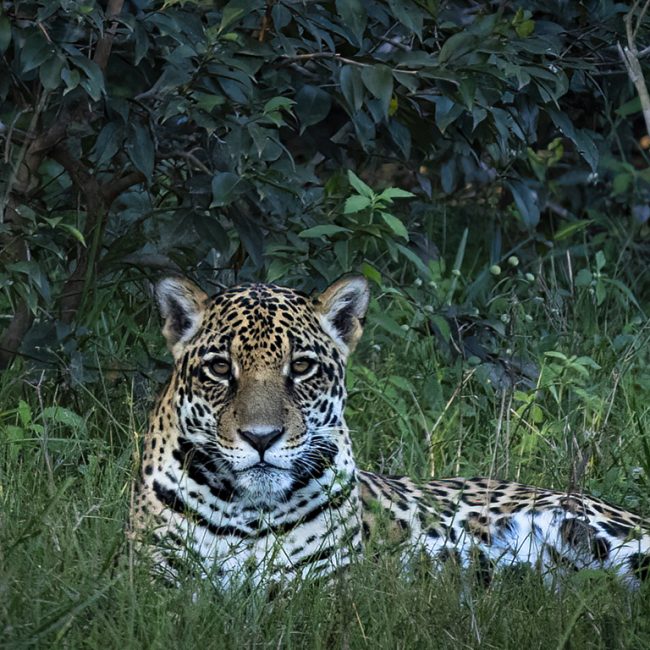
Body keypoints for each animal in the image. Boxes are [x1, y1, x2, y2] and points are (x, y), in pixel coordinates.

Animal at [131, 275, 650, 588]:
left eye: (301, 367)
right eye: (220, 368)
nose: (262, 438)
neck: (250, 512)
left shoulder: (324, 588)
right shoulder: (156, 586)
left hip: (608, 534)